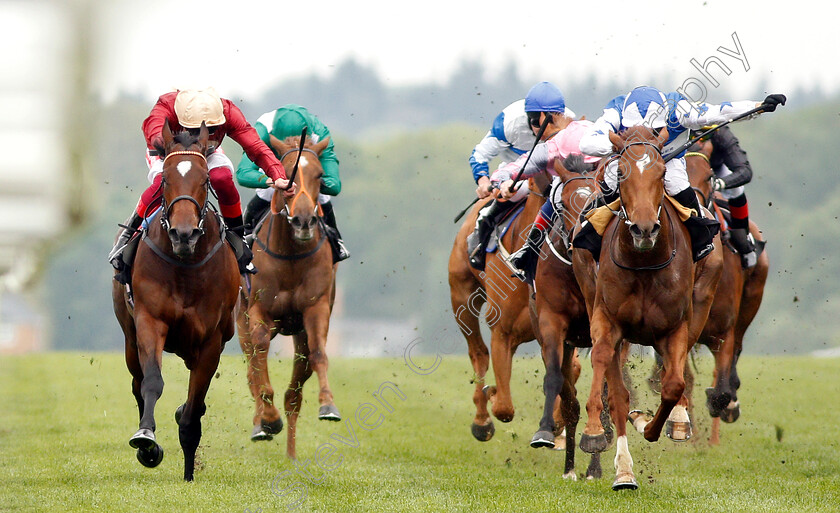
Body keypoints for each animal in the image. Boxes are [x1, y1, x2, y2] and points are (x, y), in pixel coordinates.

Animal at [111, 122, 240, 482]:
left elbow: (194, 408)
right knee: (137, 381)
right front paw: (147, 441)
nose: (184, 234)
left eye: (205, 180)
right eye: (166, 180)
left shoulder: (211, 340)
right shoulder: (149, 322)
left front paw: (188, 472)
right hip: (129, 338)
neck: (185, 264)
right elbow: (152, 382)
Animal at [235, 134, 336, 458]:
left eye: (319, 175)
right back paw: (261, 422)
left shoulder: (316, 309)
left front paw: (328, 405)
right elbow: (260, 355)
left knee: (294, 392)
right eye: (286, 173)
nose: (304, 220)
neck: (290, 257)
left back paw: (291, 454)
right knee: (252, 369)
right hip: (241, 322)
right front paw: (267, 419)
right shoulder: (258, 311)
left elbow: (318, 353)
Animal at [446, 178, 544, 438]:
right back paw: (481, 418)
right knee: (478, 353)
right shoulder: (502, 330)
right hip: (462, 300)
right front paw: (491, 395)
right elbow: (503, 408)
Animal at [572, 127, 720, 488]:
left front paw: (653, 422)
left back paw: (677, 419)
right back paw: (623, 468)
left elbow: (673, 385)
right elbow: (610, 379)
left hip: (700, 303)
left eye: (663, 172)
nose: (643, 228)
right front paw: (596, 434)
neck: (643, 262)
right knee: (618, 389)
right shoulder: (607, 320)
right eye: (621, 173)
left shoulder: (675, 326)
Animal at [684, 145, 768, 444]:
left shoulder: (724, 333)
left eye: (709, 176)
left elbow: (720, 389)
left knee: (738, 350)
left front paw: (723, 402)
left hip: (752, 301)